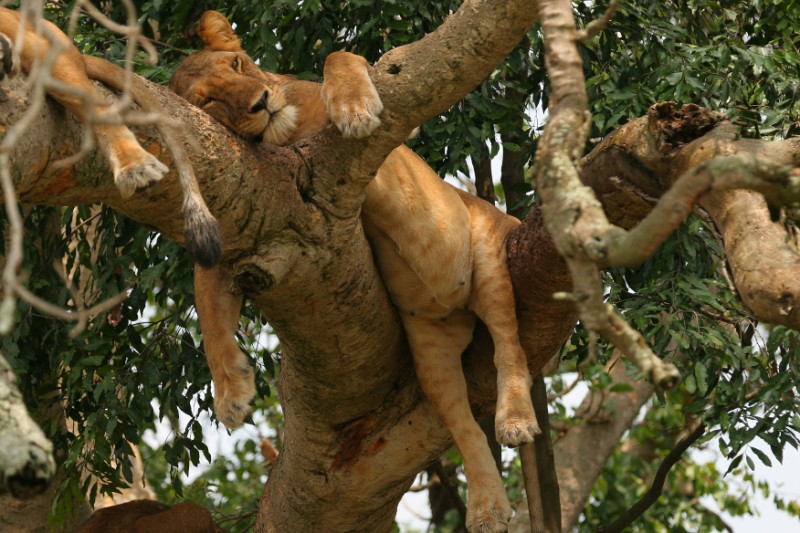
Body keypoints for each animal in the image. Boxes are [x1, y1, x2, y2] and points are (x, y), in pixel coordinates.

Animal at [172, 10, 540, 528]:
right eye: (209, 100)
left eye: (238, 64)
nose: (261, 103)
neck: (285, 135)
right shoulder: (238, 213)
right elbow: (207, 307)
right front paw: (231, 392)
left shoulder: (389, 148)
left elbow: (339, 56)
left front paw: (354, 105)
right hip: (431, 354)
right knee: (464, 424)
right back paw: (487, 506)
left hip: (489, 251)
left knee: (508, 346)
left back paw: (515, 420)